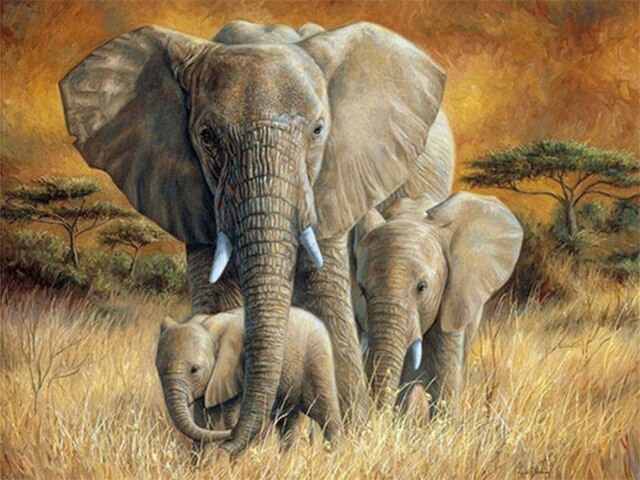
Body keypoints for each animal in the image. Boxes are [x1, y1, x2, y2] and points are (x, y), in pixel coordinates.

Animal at [156, 307, 343, 449]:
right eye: (158, 369)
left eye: (194, 370)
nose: (229, 436)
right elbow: (205, 421)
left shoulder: (237, 370)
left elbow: (230, 413)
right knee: (287, 421)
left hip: (317, 359)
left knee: (325, 414)